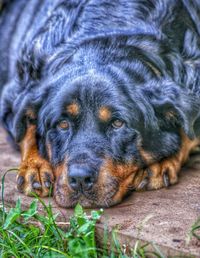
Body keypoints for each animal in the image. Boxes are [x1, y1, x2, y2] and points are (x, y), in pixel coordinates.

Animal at [0, 0, 199, 208]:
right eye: (62, 124)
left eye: (118, 123)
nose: (80, 178)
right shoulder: (14, 97)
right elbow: (25, 129)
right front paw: (35, 166)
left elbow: (188, 132)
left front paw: (161, 161)